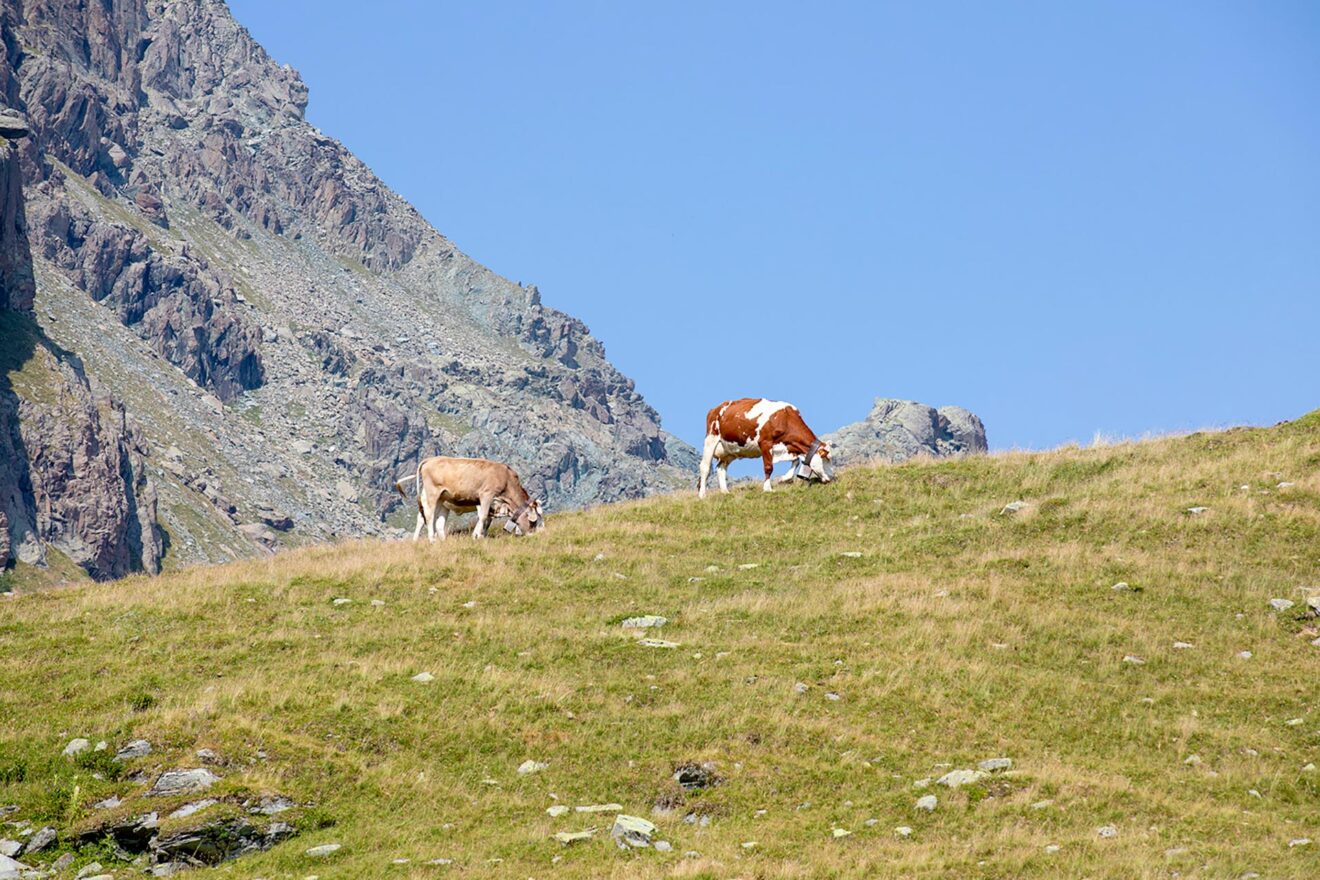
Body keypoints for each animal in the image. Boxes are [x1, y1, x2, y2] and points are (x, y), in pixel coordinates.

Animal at [390, 459, 541, 540]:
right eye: (533, 522)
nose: (537, 534)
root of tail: (430, 460)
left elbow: (487, 521)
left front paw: (481, 536)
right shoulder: (485, 496)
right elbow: (482, 517)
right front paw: (477, 536)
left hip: (442, 501)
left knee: (436, 522)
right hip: (431, 495)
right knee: (427, 516)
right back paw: (430, 540)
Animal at [696, 398, 828, 498]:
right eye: (826, 458)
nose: (831, 478)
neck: (785, 418)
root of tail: (715, 409)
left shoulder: (788, 447)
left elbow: (795, 461)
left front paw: (784, 479)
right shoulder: (765, 443)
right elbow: (769, 467)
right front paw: (767, 488)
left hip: (730, 451)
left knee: (721, 468)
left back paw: (725, 492)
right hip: (711, 440)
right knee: (705, 467)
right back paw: (702, 494)